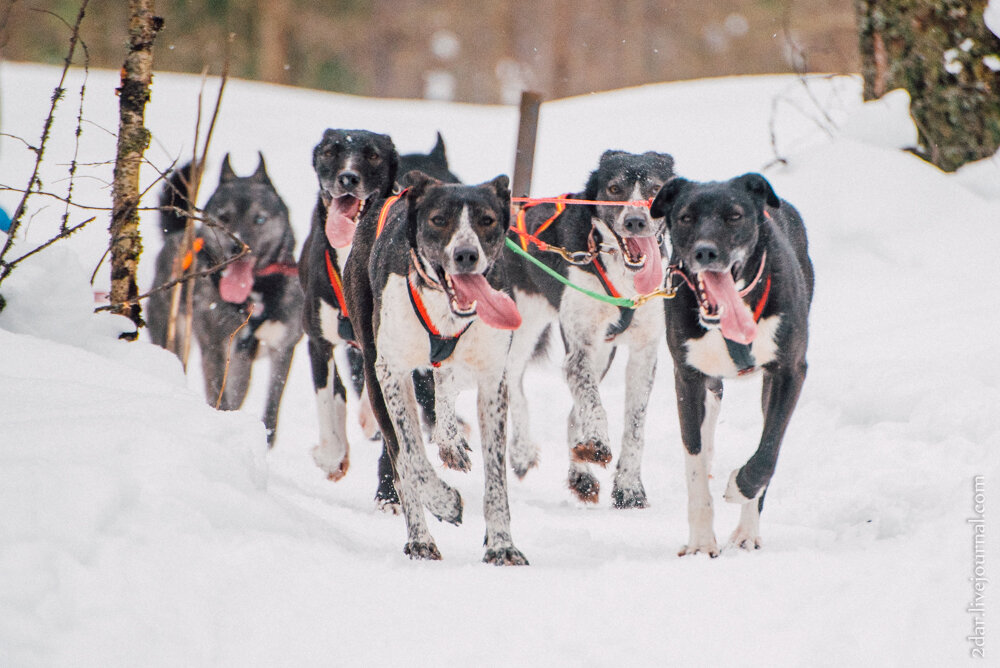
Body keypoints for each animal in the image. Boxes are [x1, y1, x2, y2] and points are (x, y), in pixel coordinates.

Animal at [148, 154, 302, 446]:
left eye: (259, 219)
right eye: (224, 217)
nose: (237, 246)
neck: (257, 295)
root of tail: (177, 235)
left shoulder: (282, 348)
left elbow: (272, 407)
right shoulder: (217, 348)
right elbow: (222, 397)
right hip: (174, 337)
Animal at [296, 126, 398, 480]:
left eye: (373, 155)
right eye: (330, 151)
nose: (348, 178)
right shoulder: (318, 341)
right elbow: (329, 399)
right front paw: (331, 455)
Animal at [346, 174, 528, 564]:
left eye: (487, 220)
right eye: (439, 220)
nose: (466, 255)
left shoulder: (493, 379)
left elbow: (496, 477)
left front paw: (502, 544)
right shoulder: (389, 374)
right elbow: (410, 456)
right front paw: (442, 501)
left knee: (444, 383)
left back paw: (450, 442)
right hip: (373, 365)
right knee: (402, 460)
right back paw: (420, 539)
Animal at [504, 151, 676, 506]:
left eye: (655, 188)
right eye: (614, 188)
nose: (636, 220)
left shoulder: (643, 353)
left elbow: (635, 426)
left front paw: (629, 488)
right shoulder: (580, 348)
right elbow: (593, 403)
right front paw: (597, 441)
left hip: (602, 353)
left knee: (572, 413)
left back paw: (580, 475)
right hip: (518, 323)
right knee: (511, 376)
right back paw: (522, 449)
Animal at [648, 172, 812, 552]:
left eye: (734, 216)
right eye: (685, 217)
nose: (705, 251)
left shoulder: (790, 372)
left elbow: (768, 451)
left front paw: (741, 487)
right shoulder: (688, 378)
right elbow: (693, 459)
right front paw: (700, 543)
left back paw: (747, 531)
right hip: (709, 383)